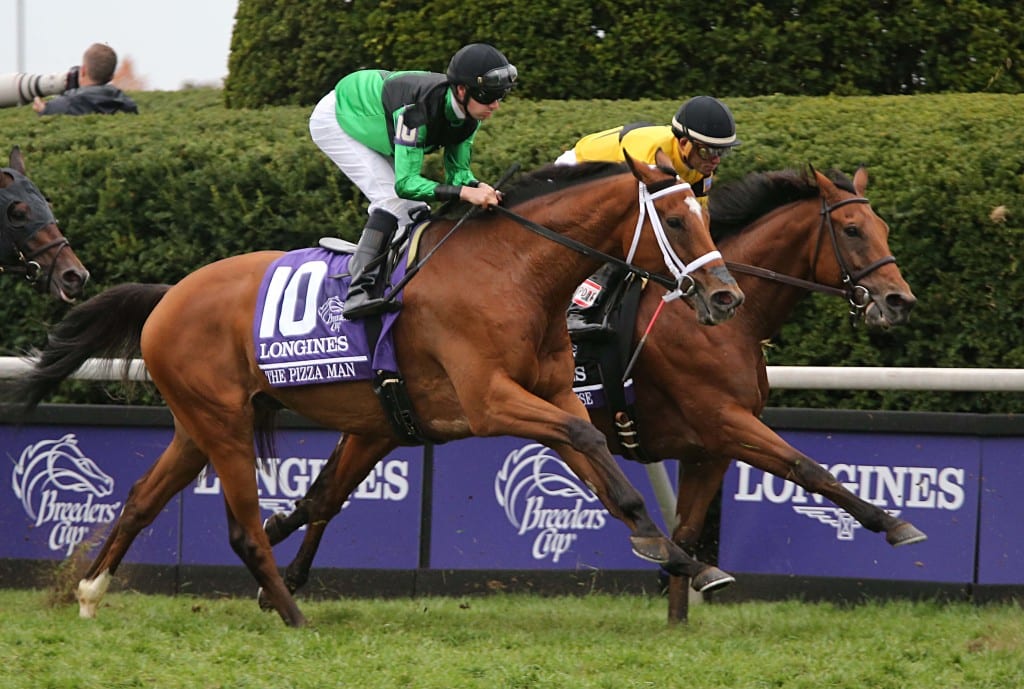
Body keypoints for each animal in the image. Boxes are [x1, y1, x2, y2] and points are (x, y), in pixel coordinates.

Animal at [14, 153, 745, 626]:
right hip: (221, 421)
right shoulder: (489, 402)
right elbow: (586, 439)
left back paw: (89, 590)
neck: (512, 271)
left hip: (197, 423)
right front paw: (667, 549)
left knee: (143, 498)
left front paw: (671, 550)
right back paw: (292, 613)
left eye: (706, 217)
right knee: (243, 526)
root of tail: (169, 296)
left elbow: (595, 458)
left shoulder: (548, 395)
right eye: (677, 223)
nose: (726, 297)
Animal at [260, 163, 925, 610]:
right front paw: (892, 523)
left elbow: (689, 529)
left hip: (387, 421)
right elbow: (807, 466)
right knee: (323, 497)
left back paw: (280, 570)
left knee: (323, 497)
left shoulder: (709, 445)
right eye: (853, 230)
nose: (899, 301)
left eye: (883, 225)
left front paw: (685, 596)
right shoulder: (723, 419)